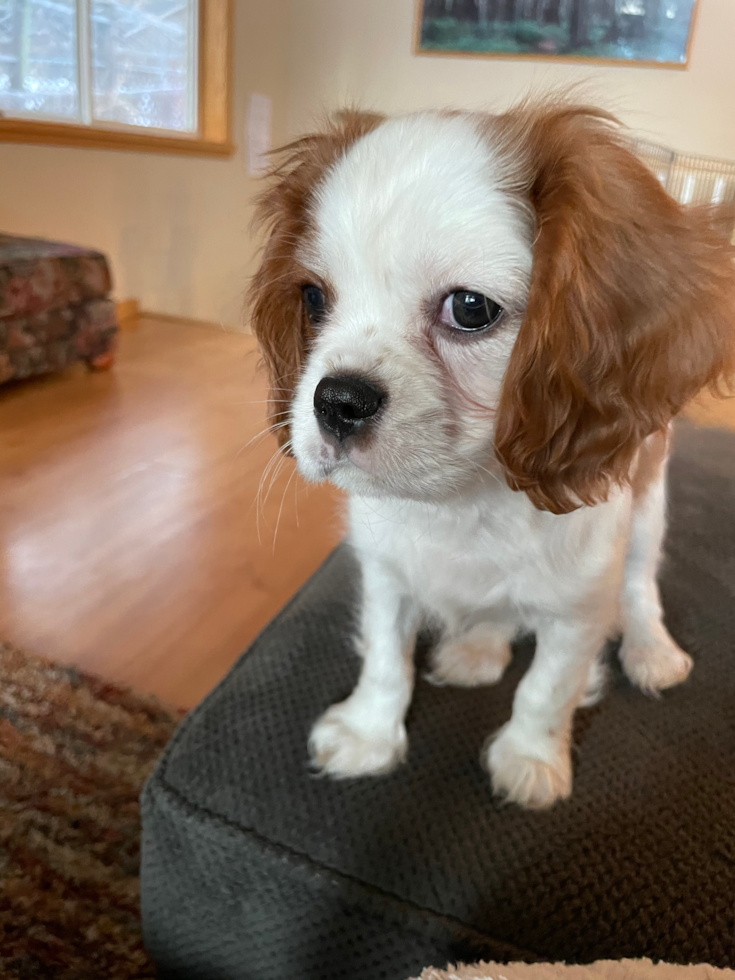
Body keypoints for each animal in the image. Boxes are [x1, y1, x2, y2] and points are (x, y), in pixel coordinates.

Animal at [249, 99, 735, 808]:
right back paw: (479, 647)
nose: (336, 400)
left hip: (650, 511)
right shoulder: (385, 572)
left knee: (642, 586)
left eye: (470, 309)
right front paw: (370, 732)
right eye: (313, 298)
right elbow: (387, 659)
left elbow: (547, 688)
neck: (465, 498)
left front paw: (531, 759)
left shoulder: (579, 605)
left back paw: (651, 651)